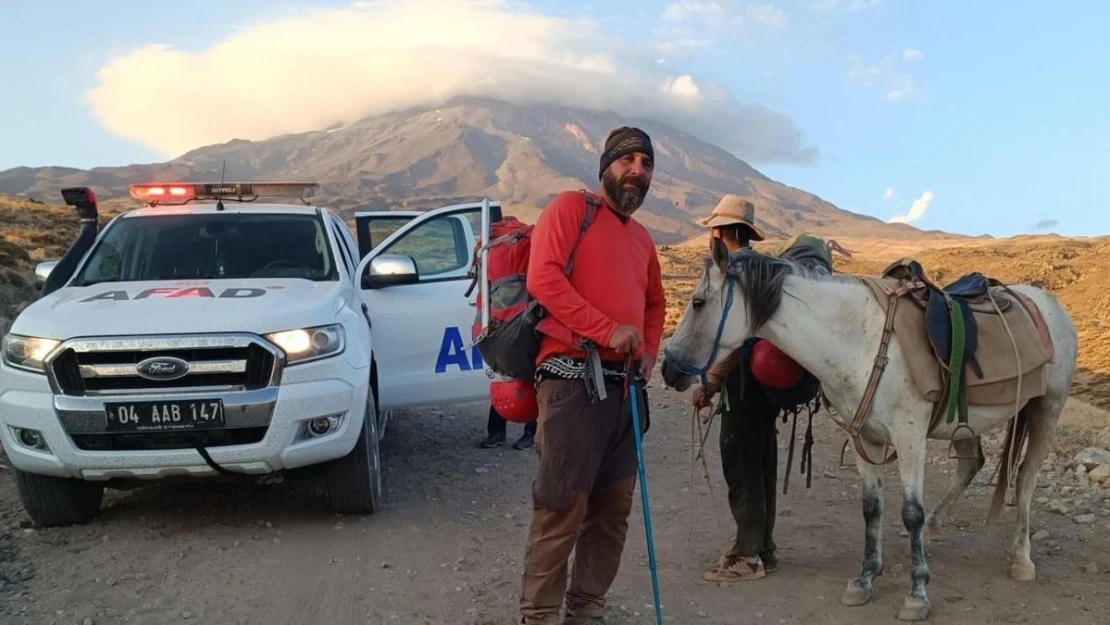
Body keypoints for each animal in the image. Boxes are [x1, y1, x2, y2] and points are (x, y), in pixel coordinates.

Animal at [657, 239, 1074, 621]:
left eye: (698, 302)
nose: (668, 370)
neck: (858, 341)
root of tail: (1051, 305)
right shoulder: (864, 439)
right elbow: (871, 509)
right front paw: (865, 578)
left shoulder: (909, 437)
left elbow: (910, 511)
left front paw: (917, 595)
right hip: (966, 421)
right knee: (971, 465)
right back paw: (933, 531)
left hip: (1046, 409)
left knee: (1025, 480)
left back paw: (1021, 559)